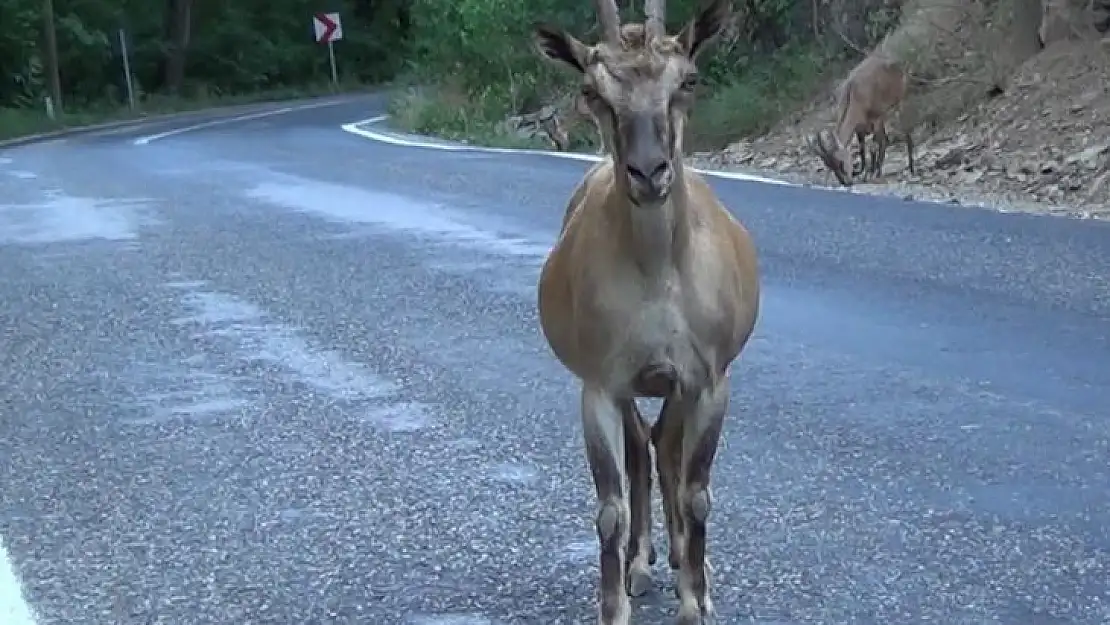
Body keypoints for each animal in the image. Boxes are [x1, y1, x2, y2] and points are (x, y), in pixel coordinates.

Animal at [530, 0, 759, 621]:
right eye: (592, 90)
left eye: (688, 80)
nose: (650, 172)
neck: (659, 278)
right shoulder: (602, 382)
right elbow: (609, 506)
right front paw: (615, 602)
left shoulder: (707, 377)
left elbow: (698, 492)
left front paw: (696, 601)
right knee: (643, 448)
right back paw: (642, 562)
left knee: (665, 447)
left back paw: (681, 557)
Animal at [808, 53, 919, 185]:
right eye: (829, 165)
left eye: (840, 162)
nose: (846, 182)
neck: (854, 94)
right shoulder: (859, 126)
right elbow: (862, 149)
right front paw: (862, 172)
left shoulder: (876, 118)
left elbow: (873, 145)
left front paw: (871, 173)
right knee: (885, 140)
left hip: (898, 103)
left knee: (902, 133)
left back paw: (910, 168)